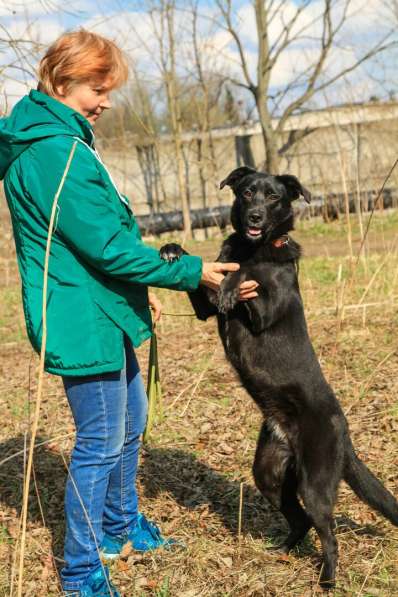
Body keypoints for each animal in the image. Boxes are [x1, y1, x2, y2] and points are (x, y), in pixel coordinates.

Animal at [160, 166, 398, 588]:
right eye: (247, 192)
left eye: (273, 197)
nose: (255, 216)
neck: (253, 246)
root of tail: (344, 433)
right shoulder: (206, 309)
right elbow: (208, 274)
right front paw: (174, 248)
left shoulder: (265, 308)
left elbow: (248, 274)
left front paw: (233, 282)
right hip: (269, 473)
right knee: (299, 520)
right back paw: (283, 552)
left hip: (314, 483)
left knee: (328, 532)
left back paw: (327, 580)